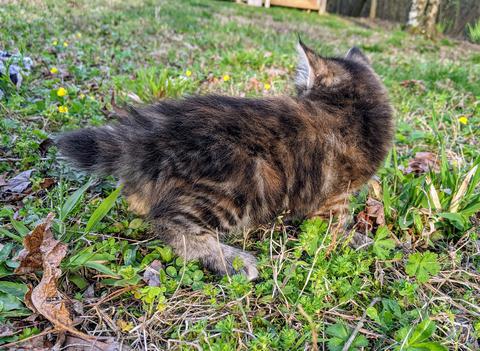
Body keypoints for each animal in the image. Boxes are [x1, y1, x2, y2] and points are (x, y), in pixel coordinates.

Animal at [56, 41, 394, 280]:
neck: (352, 108)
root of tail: (151, 136)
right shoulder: (333, 200)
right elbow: (337, 233)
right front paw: (368, 242)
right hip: (237, 189)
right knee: (170, 224)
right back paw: (233, 260)